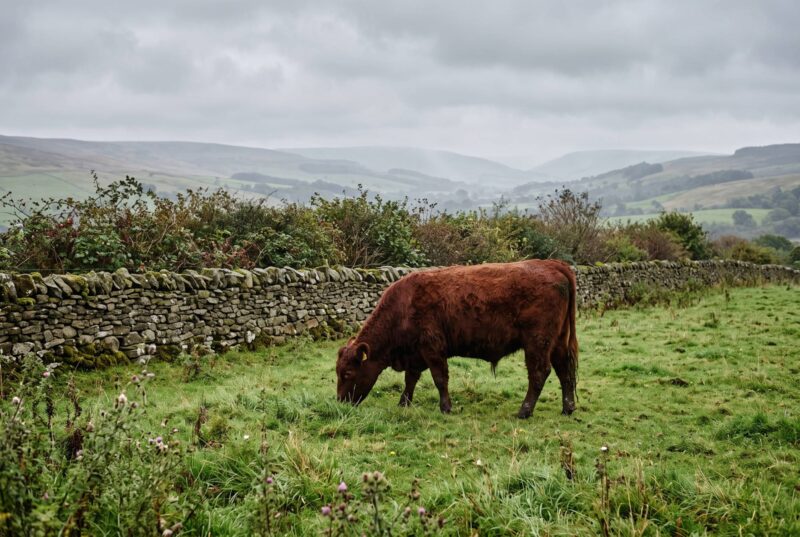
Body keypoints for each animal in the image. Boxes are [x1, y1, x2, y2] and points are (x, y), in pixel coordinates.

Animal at [335, 259, 578, 419]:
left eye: (348, 373)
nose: (340, 402)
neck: (403, 306)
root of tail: (552, 264)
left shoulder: (432, 349)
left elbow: (440, 379)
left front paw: (445, 408)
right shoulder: (415, 354)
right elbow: (410, 379)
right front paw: (403, 403)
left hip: (537, 343)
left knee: (539, 373)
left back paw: (524, 411)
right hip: (557, 342)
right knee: (564, 371)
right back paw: (567, 408)